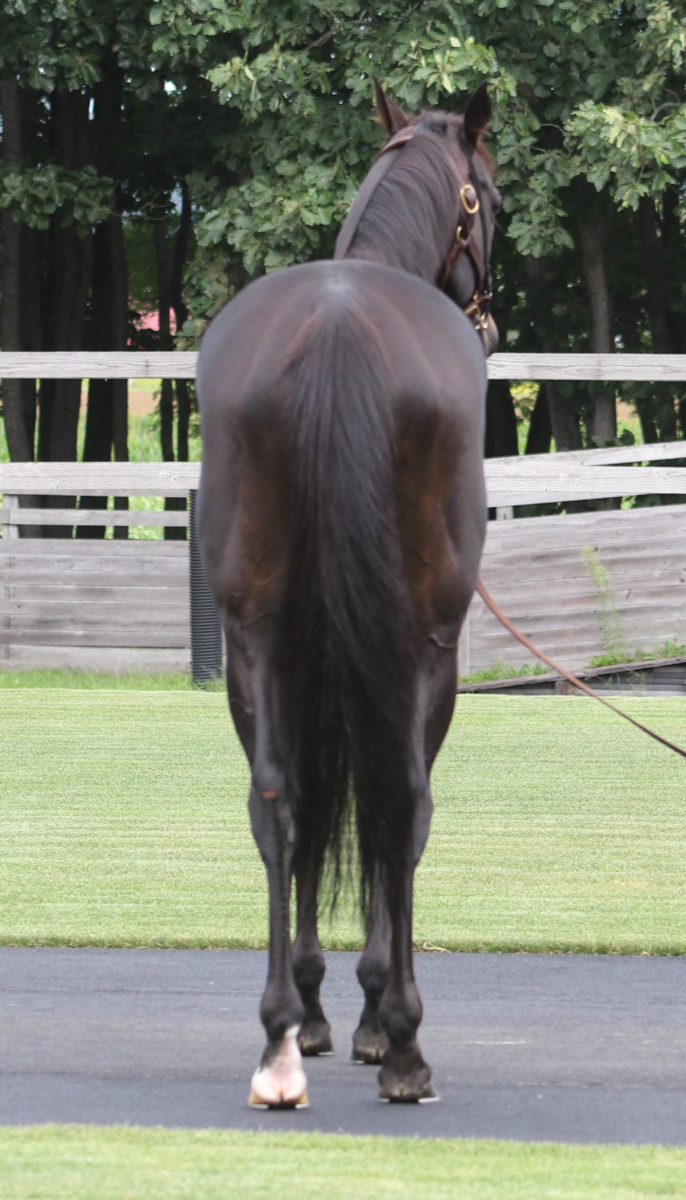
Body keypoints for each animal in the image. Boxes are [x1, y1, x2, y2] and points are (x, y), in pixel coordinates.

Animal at [196, 80, 501, 1108]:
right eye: (491, 190)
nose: (489, 318)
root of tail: (336, 326)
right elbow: (393, 813)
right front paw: (374, 1017)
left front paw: (318, 1009)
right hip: (422, 644)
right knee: (399, 798)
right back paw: (402, 1040)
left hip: (255, 640)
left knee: (279, 798)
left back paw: (281, 1038)